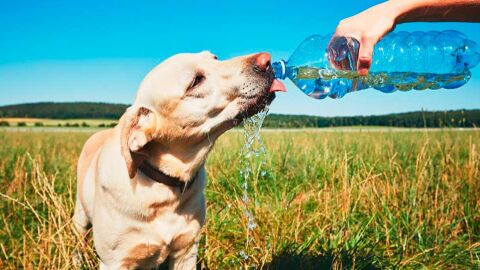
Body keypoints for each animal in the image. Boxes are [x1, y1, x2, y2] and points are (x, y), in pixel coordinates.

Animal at [73, 51, 286, 270]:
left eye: (215, 58)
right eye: (196, 81)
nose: (267, 60)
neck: (164, 189)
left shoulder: (187, 250)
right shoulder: (115, 261)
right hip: (80, 215)